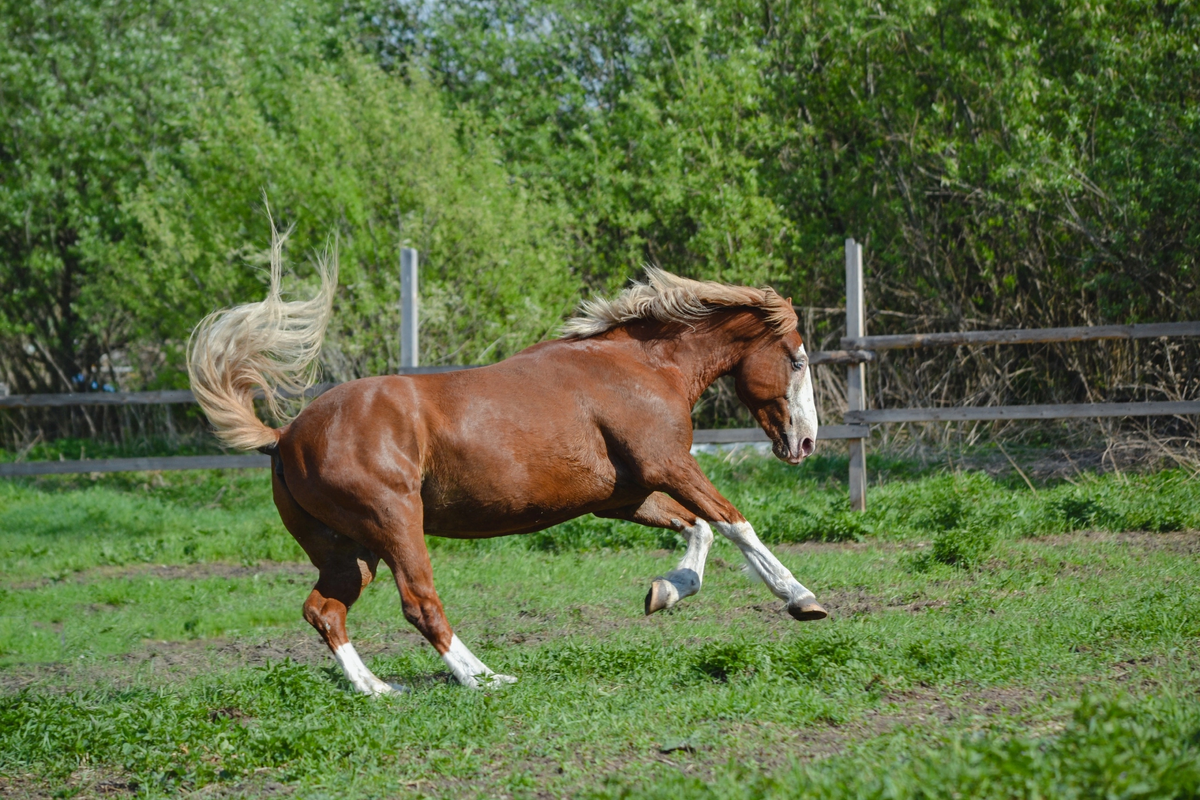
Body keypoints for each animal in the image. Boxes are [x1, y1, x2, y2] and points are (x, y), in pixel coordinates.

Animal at [189, 226, 825, 695]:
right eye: (796, 360)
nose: (805, 444)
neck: (642, 367)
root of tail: (286, 436)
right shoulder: (669, 466)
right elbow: (735, 524)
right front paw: (802, 600)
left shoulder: (623, 497)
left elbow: (700, 529)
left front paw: (666, 592)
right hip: (395, 525)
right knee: (418, 603)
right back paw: (484, 677)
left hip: (350, 550)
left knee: (323, 610)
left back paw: (378, 689)